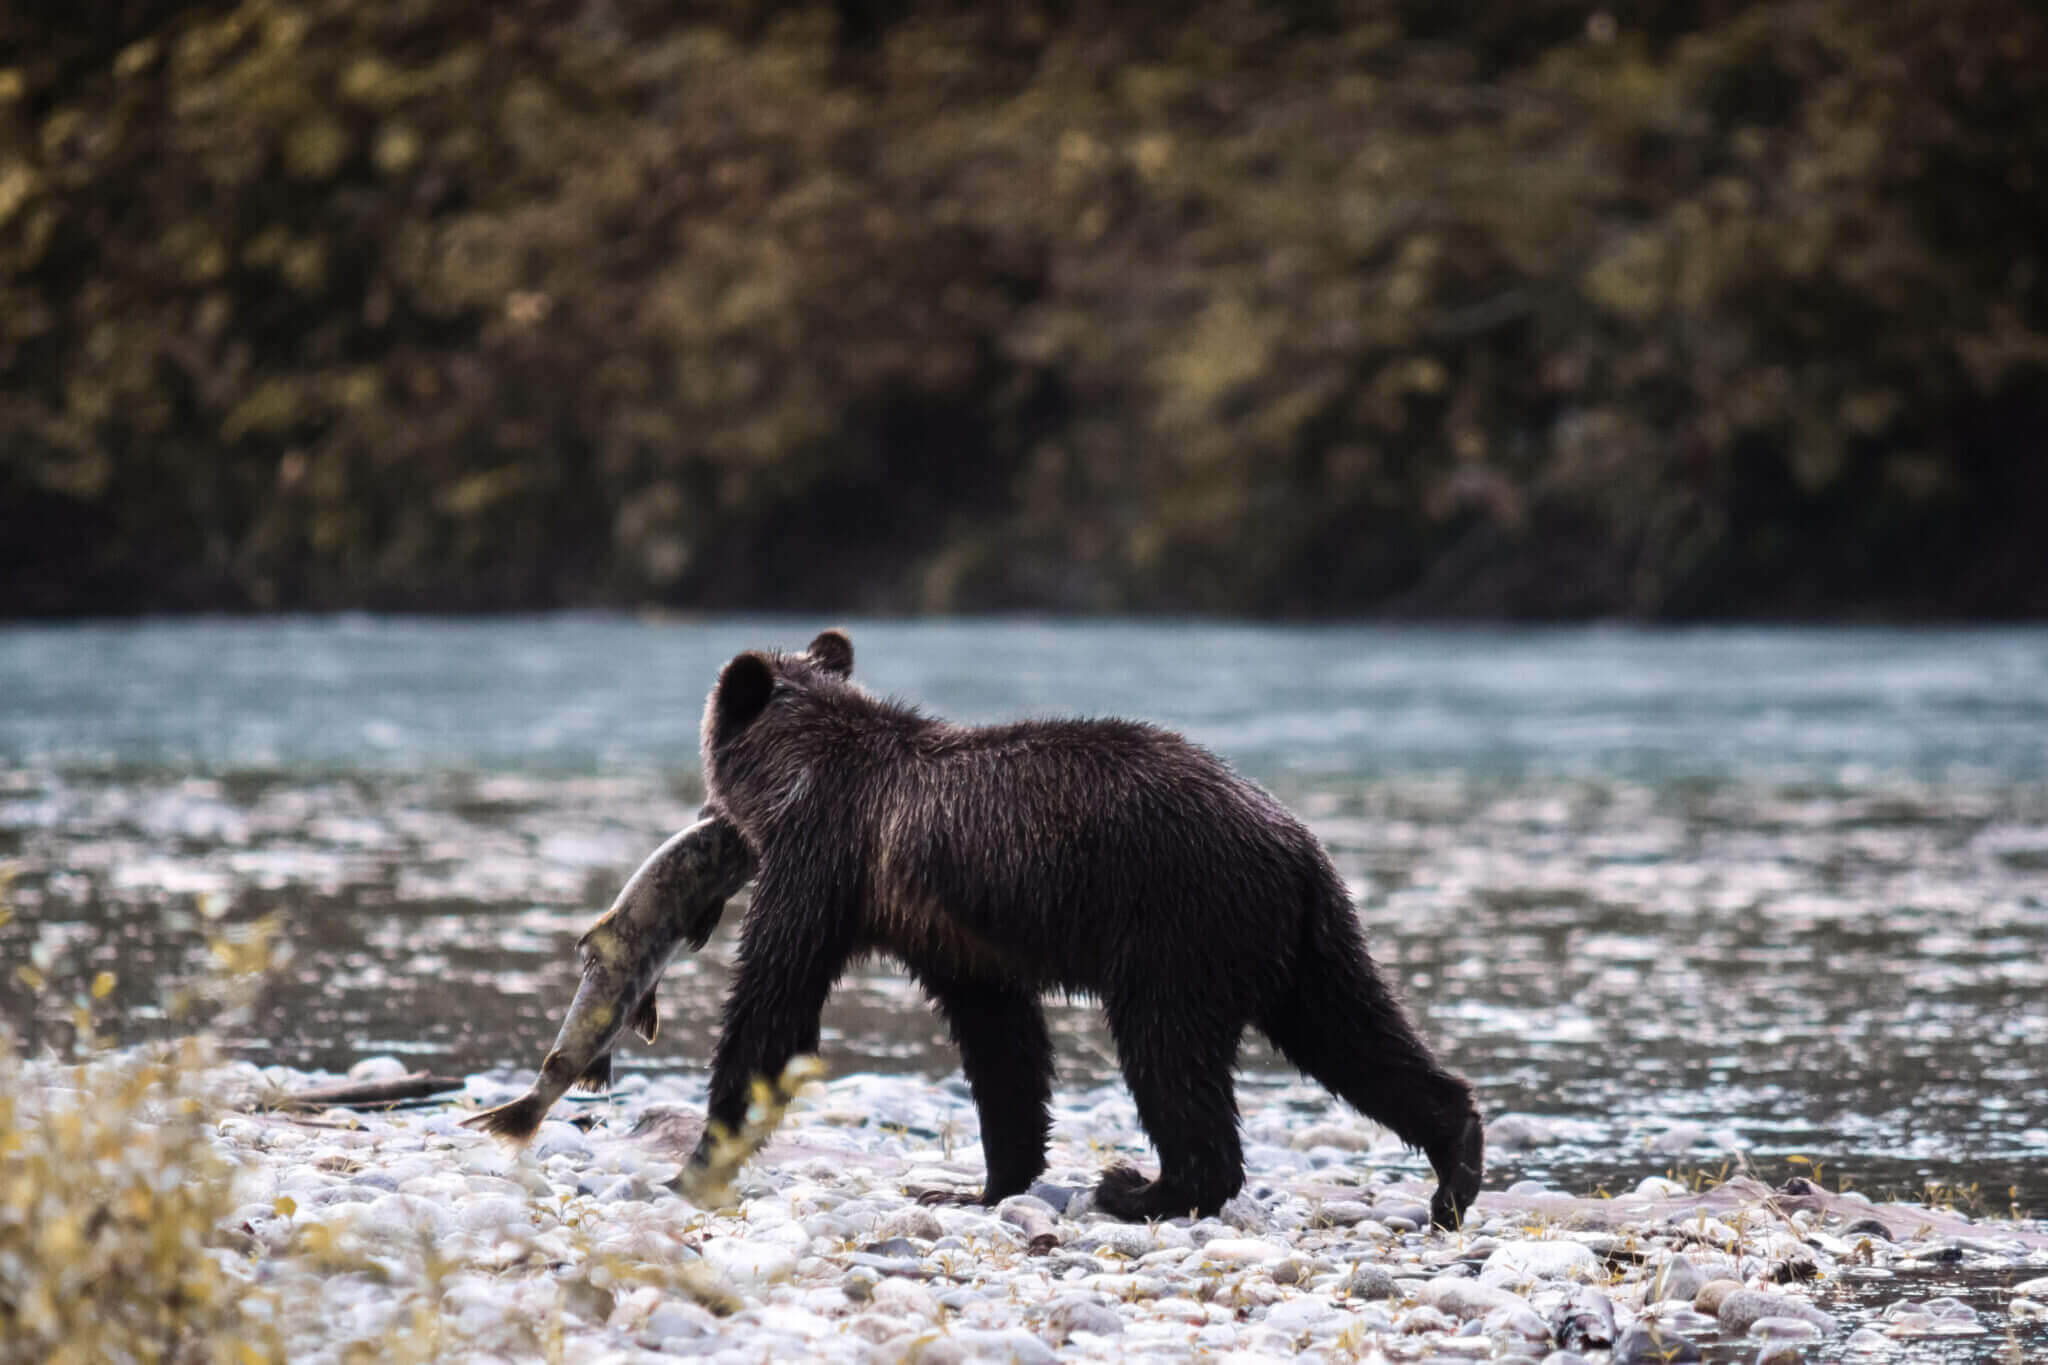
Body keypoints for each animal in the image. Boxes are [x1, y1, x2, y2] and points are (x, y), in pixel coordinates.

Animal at [692, 630, 1490, 1227]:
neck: (799, 776)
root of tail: (1296, 846)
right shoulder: (957, 936)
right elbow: (1002, 1044)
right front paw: (979, 1183)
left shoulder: (824, 859)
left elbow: (775, 1001)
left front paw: (701, 1154)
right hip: (1309, 941)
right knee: (1354, 1034)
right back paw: (1455, 1163)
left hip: (1179, 924)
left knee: (1168, 1050)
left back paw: (1142, 1187)